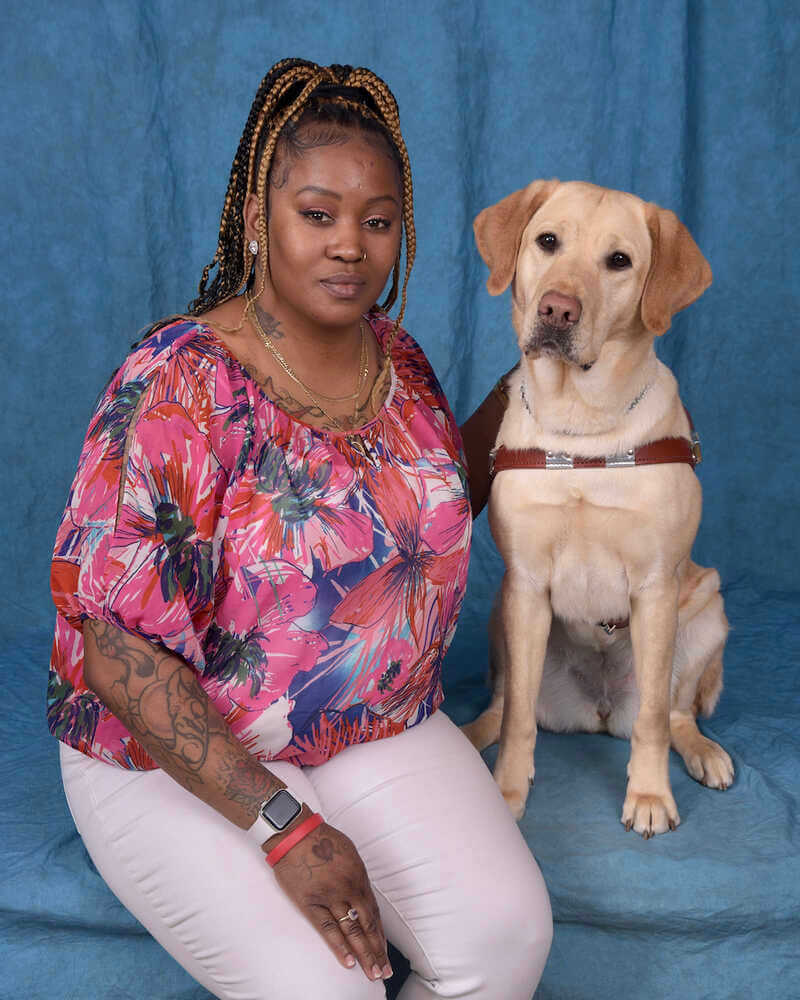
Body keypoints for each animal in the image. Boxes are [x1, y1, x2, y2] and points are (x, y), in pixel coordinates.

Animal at [466, 180, 736, 836]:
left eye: (619, 261)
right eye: (547, 241)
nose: (557, 310)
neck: (582, 427)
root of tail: (599, 709)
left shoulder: (657, 587)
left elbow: (654, 722)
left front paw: (649, 795)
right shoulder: (526, 583)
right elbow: (518, 722)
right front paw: (507, 792)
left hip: (708, 610)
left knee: (675, 714)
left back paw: (703, 753)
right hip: (500, 613)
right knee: (504, 706)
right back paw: (470, 736)